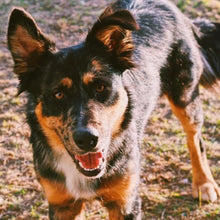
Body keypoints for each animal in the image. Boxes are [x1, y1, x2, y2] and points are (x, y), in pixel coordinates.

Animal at [6, 0, 220, 219]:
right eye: (58, 94)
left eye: (101, 87)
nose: (87, 139)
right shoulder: (62, 205)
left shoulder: (125, 202)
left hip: (185, 97)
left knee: (195, 139)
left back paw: (203, 184)